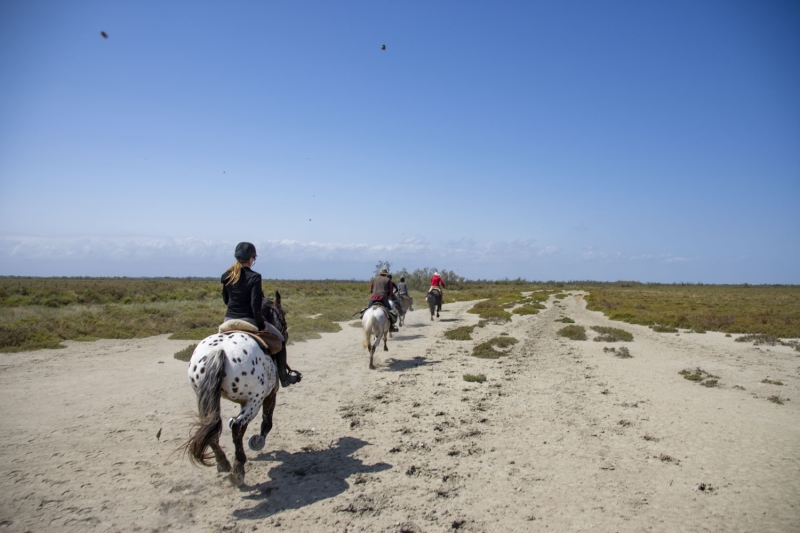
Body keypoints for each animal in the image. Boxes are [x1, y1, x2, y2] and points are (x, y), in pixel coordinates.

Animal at [184, 290, 288, 486]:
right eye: (283, 312)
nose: (285, 332)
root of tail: (219, 351)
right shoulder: (271, 393)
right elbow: (267, 421)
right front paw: (258, 441)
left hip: (205, 396)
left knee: (210, 424)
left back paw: (223, 462)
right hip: (254, 400)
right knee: (238, 427)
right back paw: (238, 469)